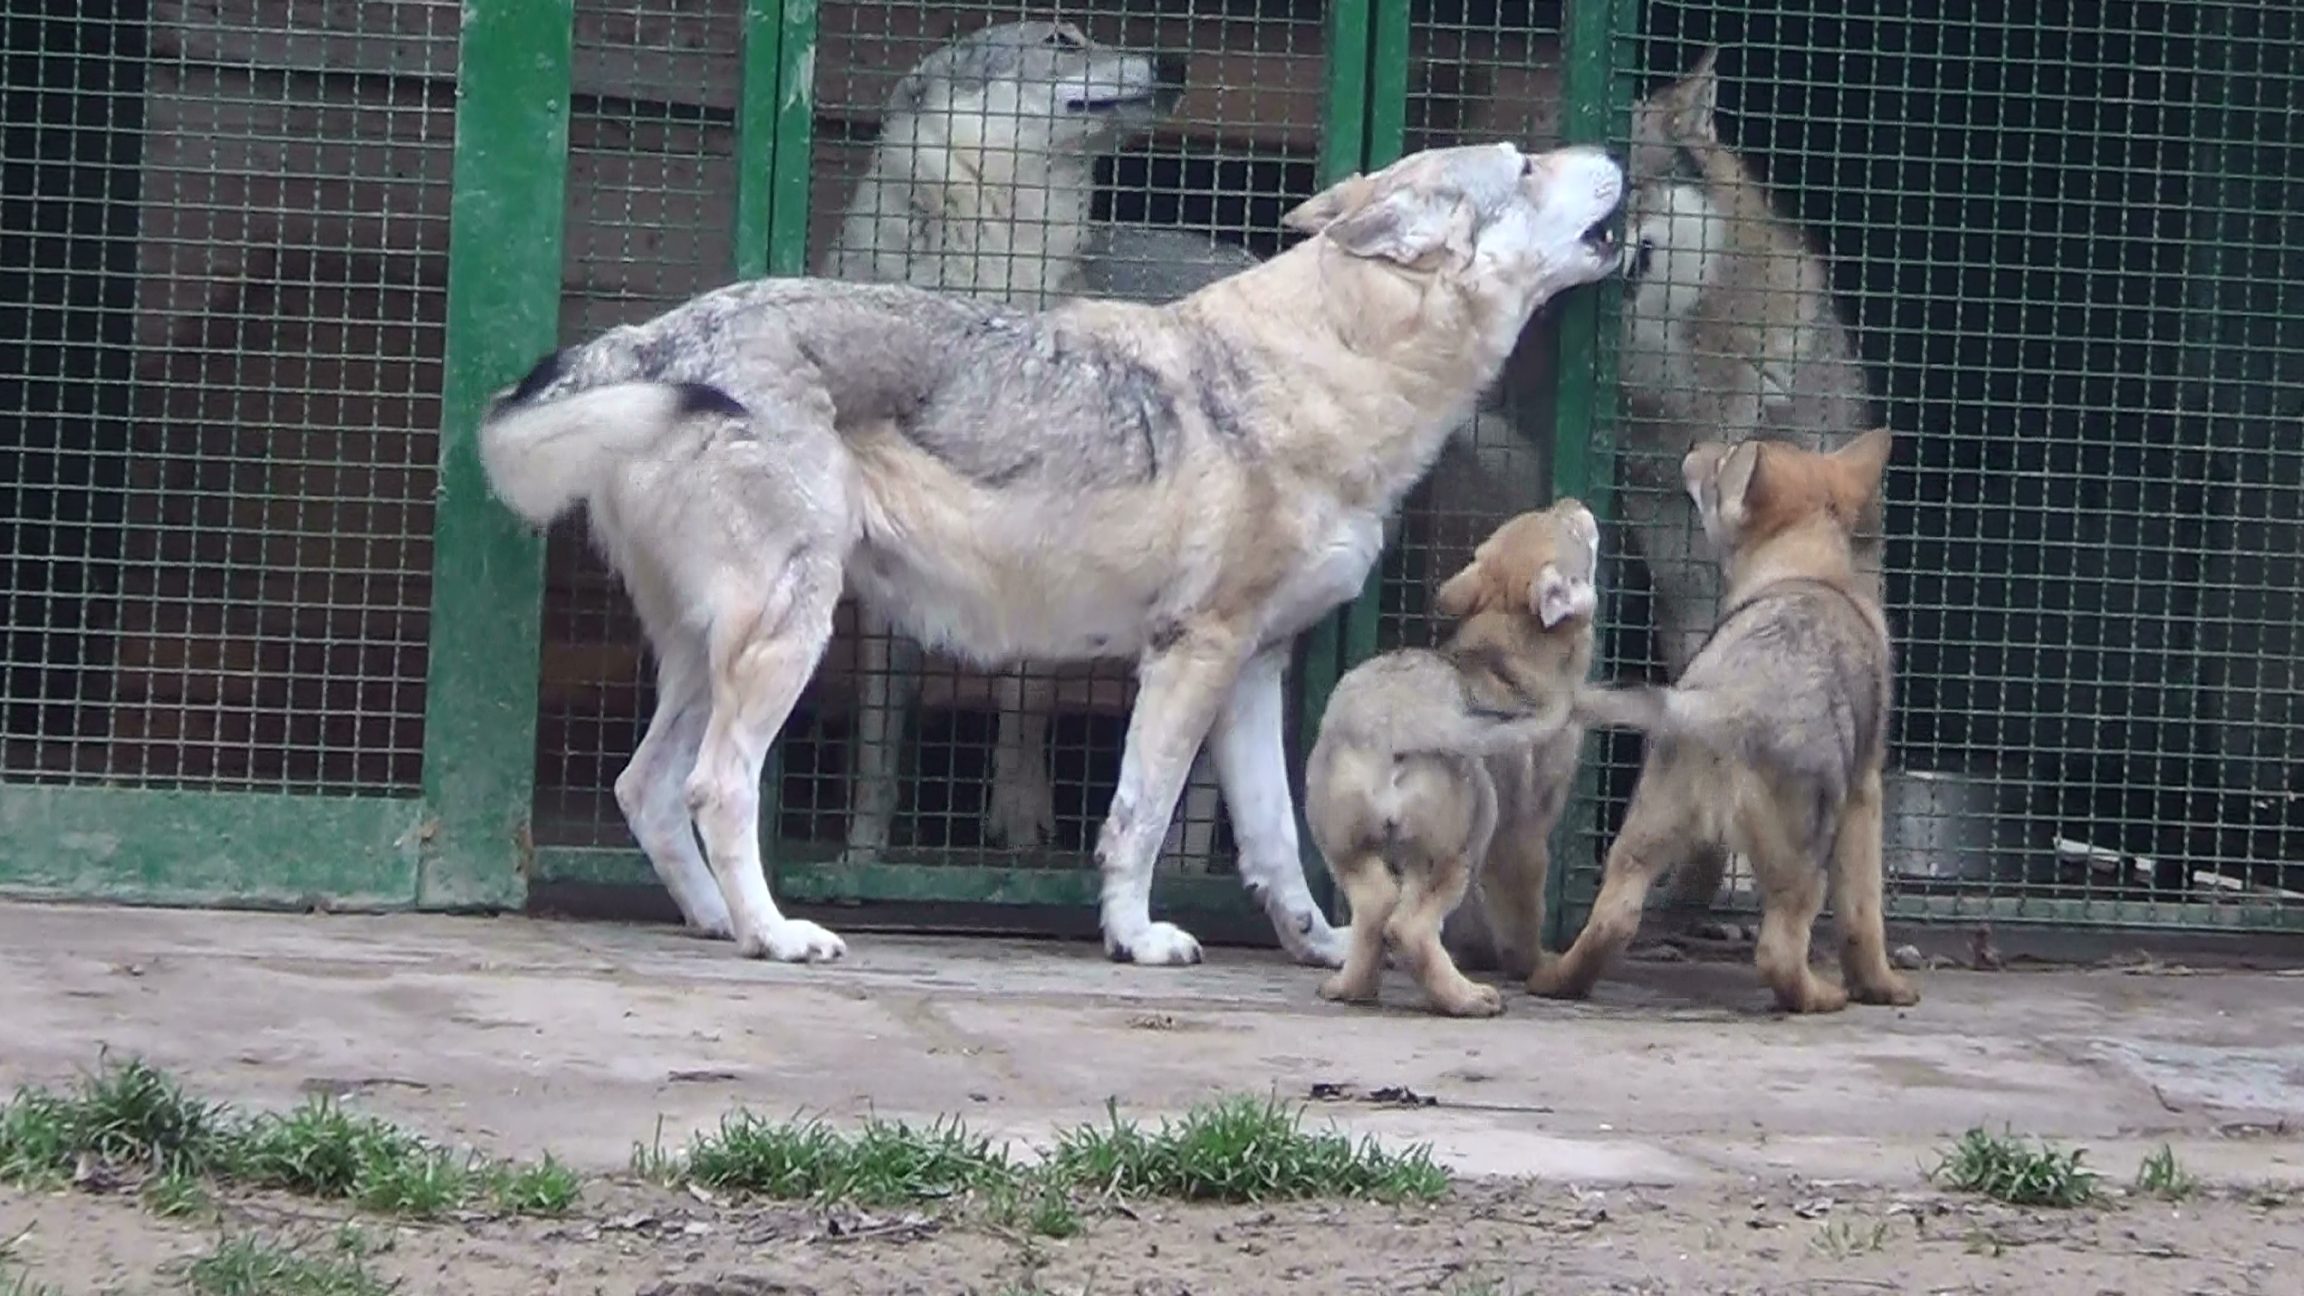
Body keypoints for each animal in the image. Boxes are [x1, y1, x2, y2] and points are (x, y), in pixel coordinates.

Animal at [1529, 426, 1926, 1010]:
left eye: (1717, 469)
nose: (1695, 446)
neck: (1808, 573)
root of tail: (1724, 703)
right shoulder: (1865, 793)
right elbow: (1863, 917)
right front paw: (1881, 986)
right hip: (1801, 863)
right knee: (1779, 950)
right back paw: (1820, 997)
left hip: (1642, 835)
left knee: (1612, 922)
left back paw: (1556, 980)